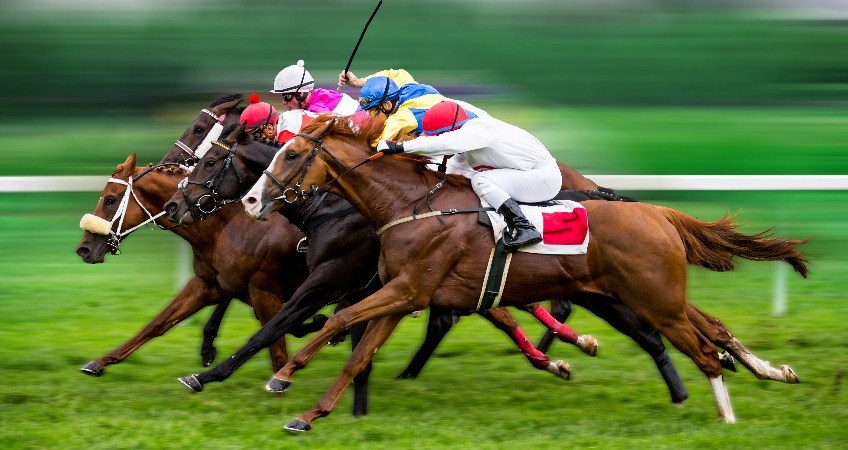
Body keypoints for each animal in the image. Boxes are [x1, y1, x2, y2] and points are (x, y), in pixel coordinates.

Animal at [252, 116, 808, 432]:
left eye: (293, 153)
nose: (254, 201)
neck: (413, 205)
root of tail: (658, 213)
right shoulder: (404, 293)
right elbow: (357, 351)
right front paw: (309, 415)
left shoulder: (409, 288)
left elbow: (335, 321)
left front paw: (283, 375)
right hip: (662, 295)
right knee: (715, 329)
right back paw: (773, 371)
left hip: (654, 300)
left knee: (704, 353)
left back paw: (728, 417)